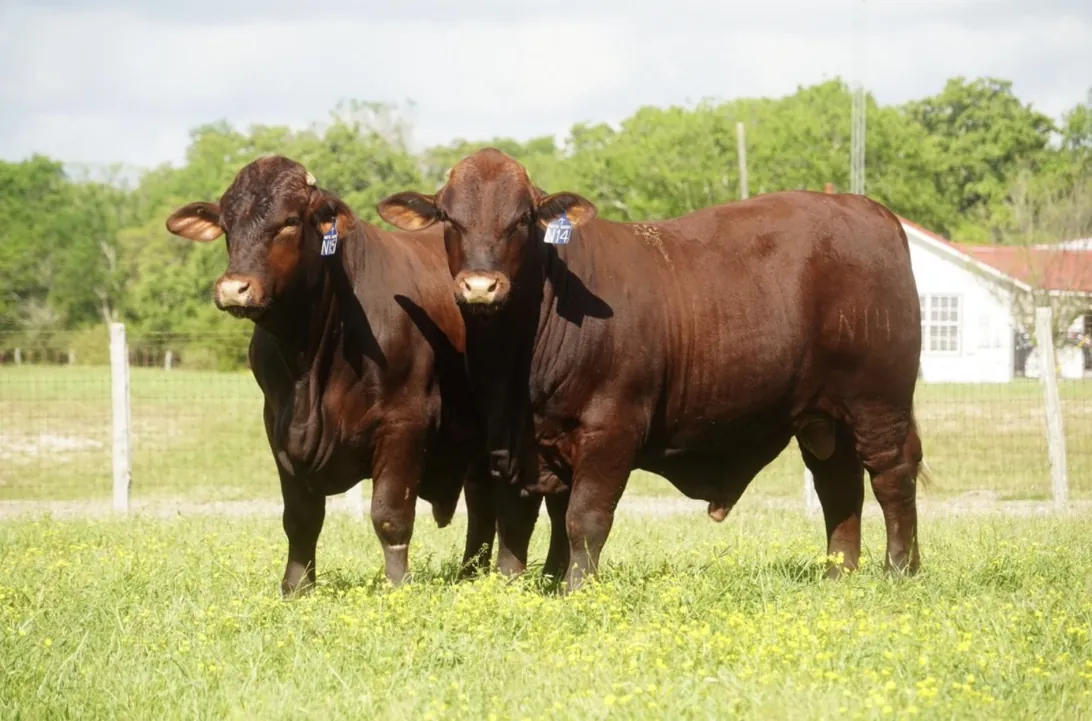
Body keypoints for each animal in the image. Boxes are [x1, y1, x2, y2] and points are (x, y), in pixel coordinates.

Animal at [165, 154, 513, 597]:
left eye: (290, 220)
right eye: (226, 225)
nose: (234, 288)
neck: (309, 362)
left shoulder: (405, 422)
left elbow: (390, 515)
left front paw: (397, 586)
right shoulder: (277, 429)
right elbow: (300, 519)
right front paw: (295, 587)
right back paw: (470, 574)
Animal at [376, 147, 927, 593]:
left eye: (523, 218)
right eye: (450, 218)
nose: (480, 286)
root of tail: (868, 209)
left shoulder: (610, 429)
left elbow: (584, 519)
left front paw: (578, 590)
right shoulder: (513, 444)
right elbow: (515, 521)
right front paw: (510, 589)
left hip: (879, 404)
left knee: (892, 477)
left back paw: (900, 570)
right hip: (822, 418)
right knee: (839, 486)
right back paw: (839, 574)